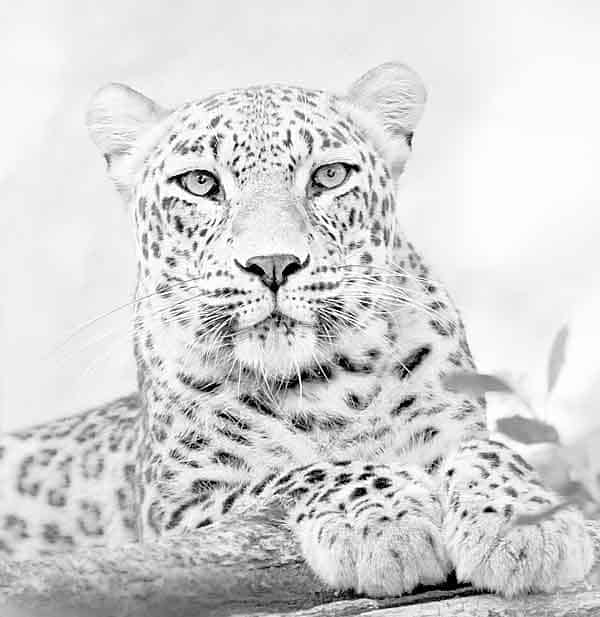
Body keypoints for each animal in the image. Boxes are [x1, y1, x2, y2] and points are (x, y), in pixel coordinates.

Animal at [0, 63, 592, 596]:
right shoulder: (175, 510)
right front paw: (383, 523)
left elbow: (489, 450)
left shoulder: (456, 425)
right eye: (200, 183)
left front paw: (525, 522)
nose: (273, 263)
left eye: (329, 176)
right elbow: (301, 473)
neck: (328, 387)